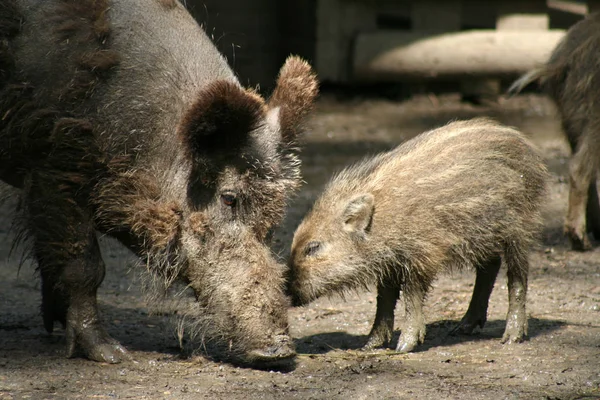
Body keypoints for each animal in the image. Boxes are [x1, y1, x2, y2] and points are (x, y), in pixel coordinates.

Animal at [0, 0, 318, 368]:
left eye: (276, 214)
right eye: (229, 198)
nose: (281, 351)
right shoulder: (53, 162)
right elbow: (84, 265)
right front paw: (112, 355)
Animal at [288, 119, 548, 354]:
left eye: (313, 247)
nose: (288, 295)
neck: (381, 222)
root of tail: (529, 148)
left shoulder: (423, 255)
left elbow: (411, 296)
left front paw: (404, 347)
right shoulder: (390, 263)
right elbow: (384, 299)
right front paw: (369, 346)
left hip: (519, 228)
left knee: (517, 275)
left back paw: (511, 338)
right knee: (489, 267)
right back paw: (463, 328)